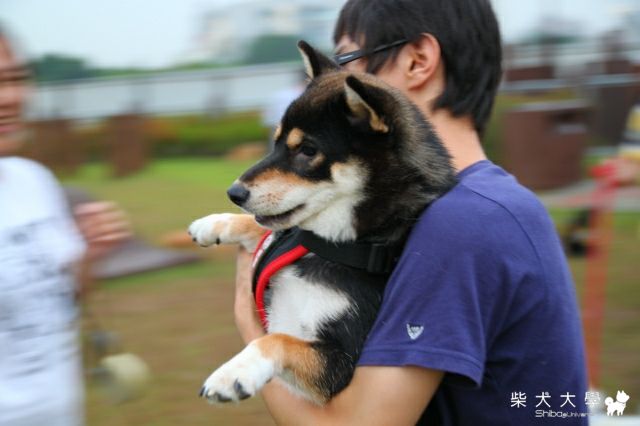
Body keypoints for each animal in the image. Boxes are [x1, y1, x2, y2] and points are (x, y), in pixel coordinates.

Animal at [188, 41, 456, 405]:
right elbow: (265, 227)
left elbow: (276, 339)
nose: (234, 192)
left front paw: (234, 373)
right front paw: (213, 223)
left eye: (307, 150)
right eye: (276, 142)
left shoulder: (340, 365)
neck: (337, 246)